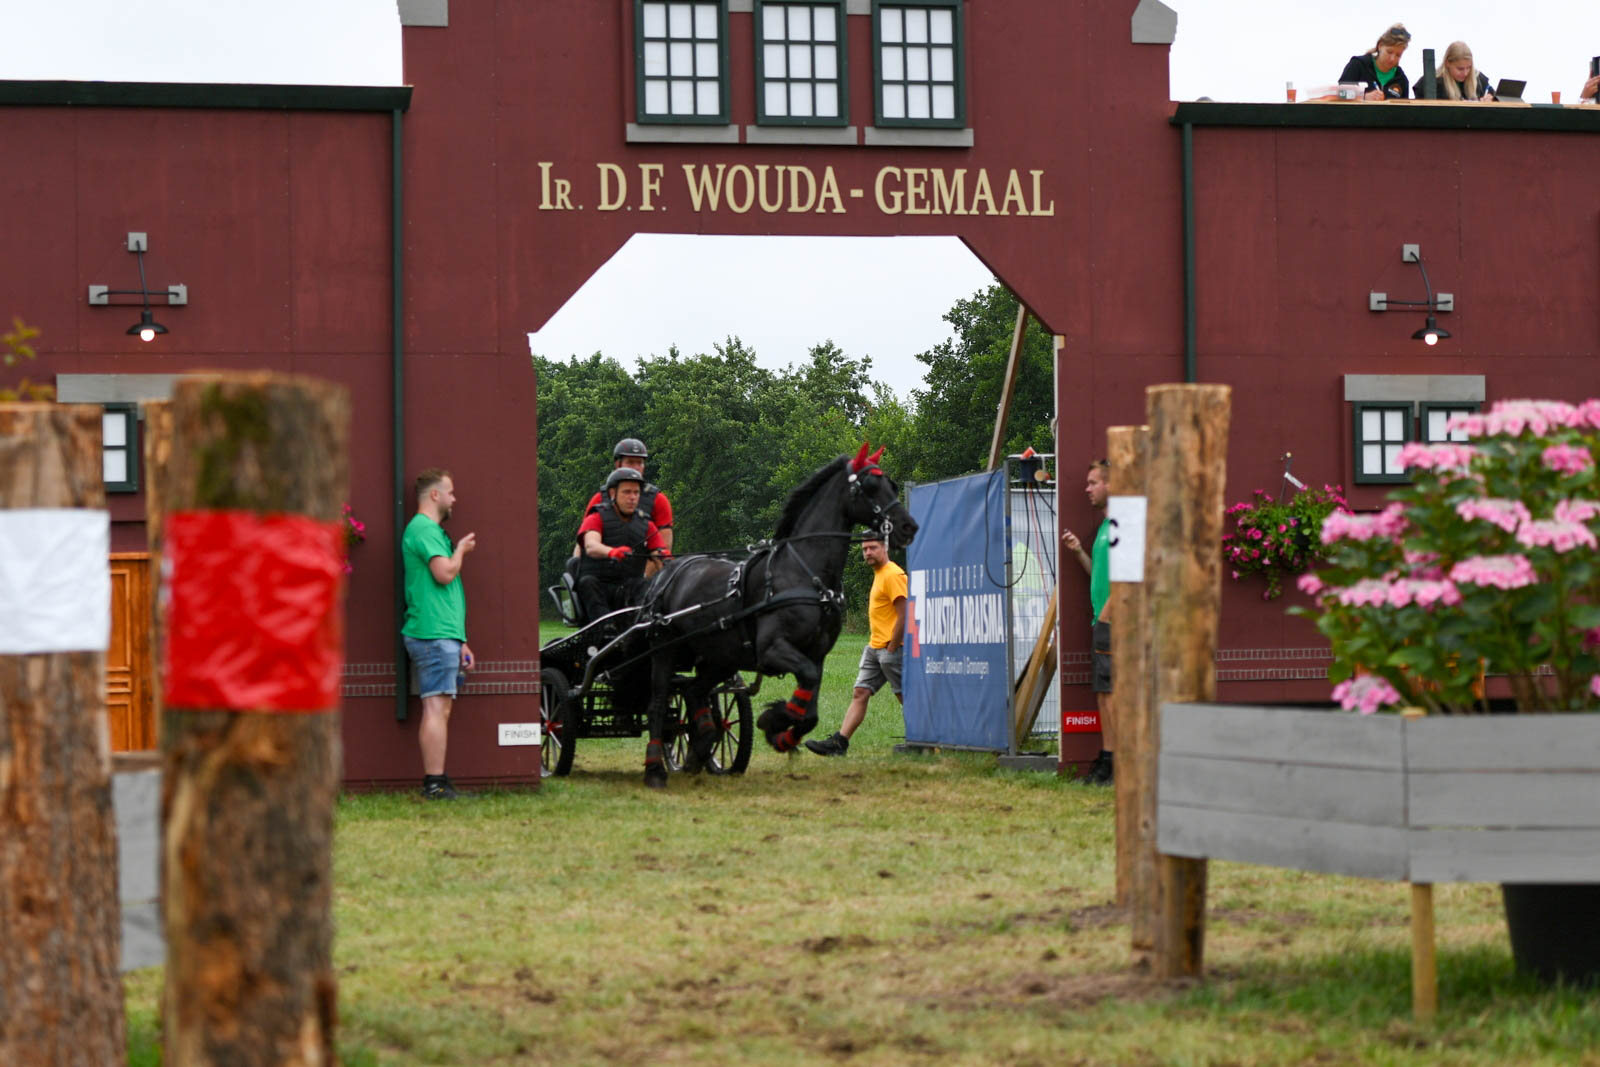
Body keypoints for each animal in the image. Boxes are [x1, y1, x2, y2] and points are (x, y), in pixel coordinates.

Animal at [631, 443, 918, 788]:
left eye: (892, 485)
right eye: (870, 486)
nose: (908, 527)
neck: (804, 573)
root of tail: (666, 575)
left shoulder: (817, 654)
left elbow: (810, 709)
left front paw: (781, 733)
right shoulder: (772, 650)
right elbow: (805, 685)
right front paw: (772, 721)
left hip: (718, 659)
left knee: (693, 691)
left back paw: (700, 747)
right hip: (665, 651)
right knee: (659, 704)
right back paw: (655, 769)